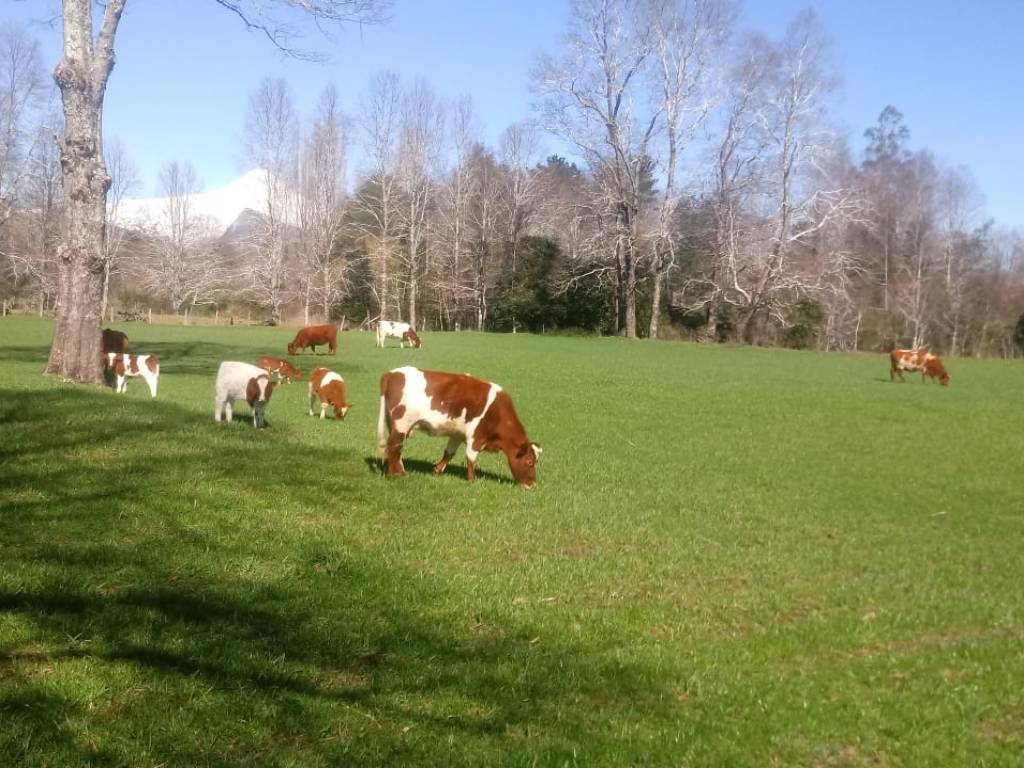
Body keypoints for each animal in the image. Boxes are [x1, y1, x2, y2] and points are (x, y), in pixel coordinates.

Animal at [377, 366, 542, 488]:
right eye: (529, 462)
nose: (533, 484)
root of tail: (391, 373)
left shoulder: (457, 434)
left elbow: (449, 453)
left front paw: (437, 470)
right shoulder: (476, 436)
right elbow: (471, 458)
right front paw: (472, 480)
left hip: (395, 424)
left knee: (396, 448)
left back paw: (398, 470)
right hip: (402, 423)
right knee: (394, 445)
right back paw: (396, 474)